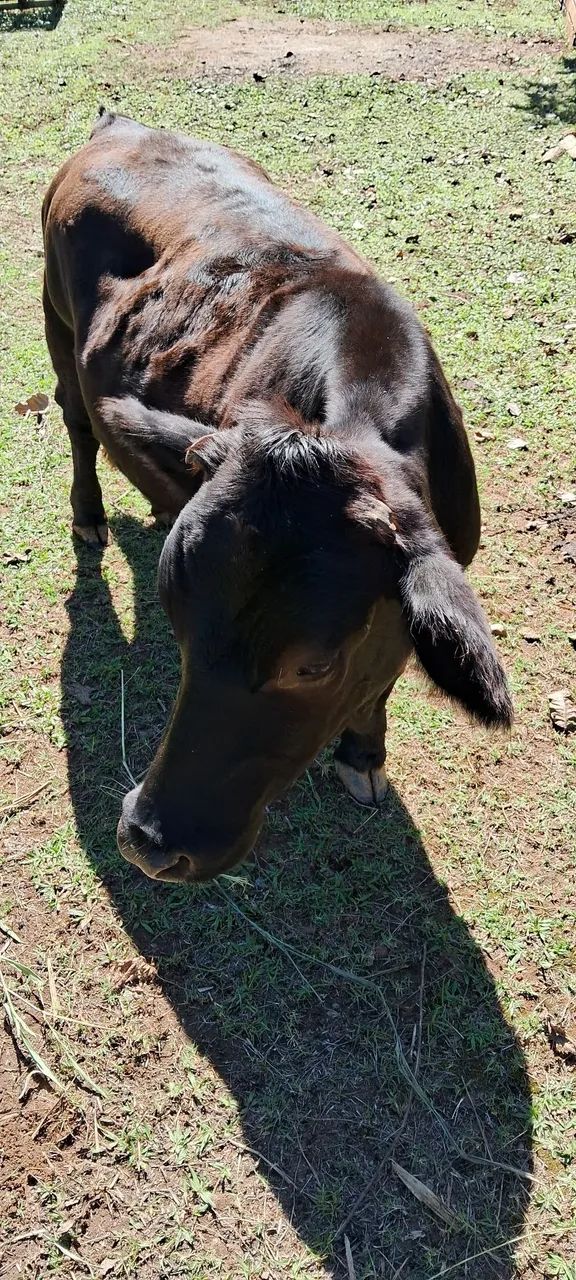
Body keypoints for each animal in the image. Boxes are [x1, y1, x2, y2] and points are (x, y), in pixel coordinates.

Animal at [42, 110, 512, 884]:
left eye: (312, 665)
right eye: (179, 620)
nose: (148, 841)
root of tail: (119, 126)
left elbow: (382, 682)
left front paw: (363, 755)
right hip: (54, 319)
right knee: (76, 419)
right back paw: (88, 518)